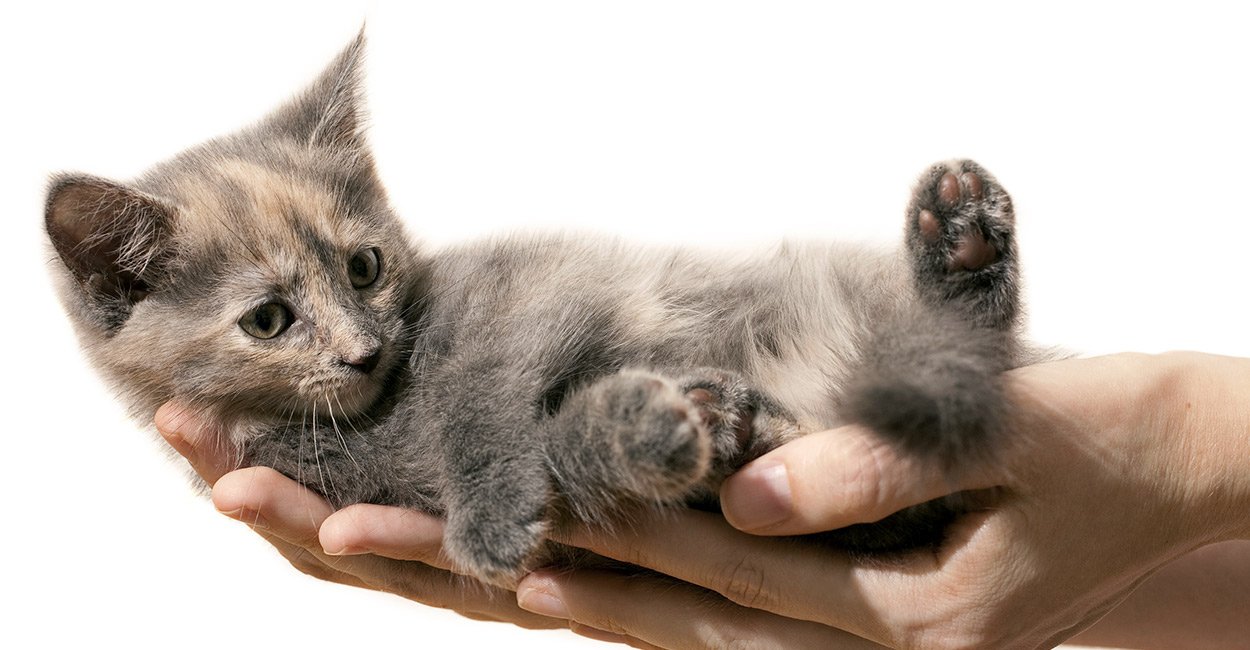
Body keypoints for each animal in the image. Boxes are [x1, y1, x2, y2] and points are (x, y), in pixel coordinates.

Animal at [44, 32, 1030, 587]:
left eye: (365, 267)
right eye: (268, 321)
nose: (364, 351)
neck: (378, 410)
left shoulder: (539, 282)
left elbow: (480, 391)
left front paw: (492, 513)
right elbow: (553, 448)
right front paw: (668, 426)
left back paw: (960, 246)